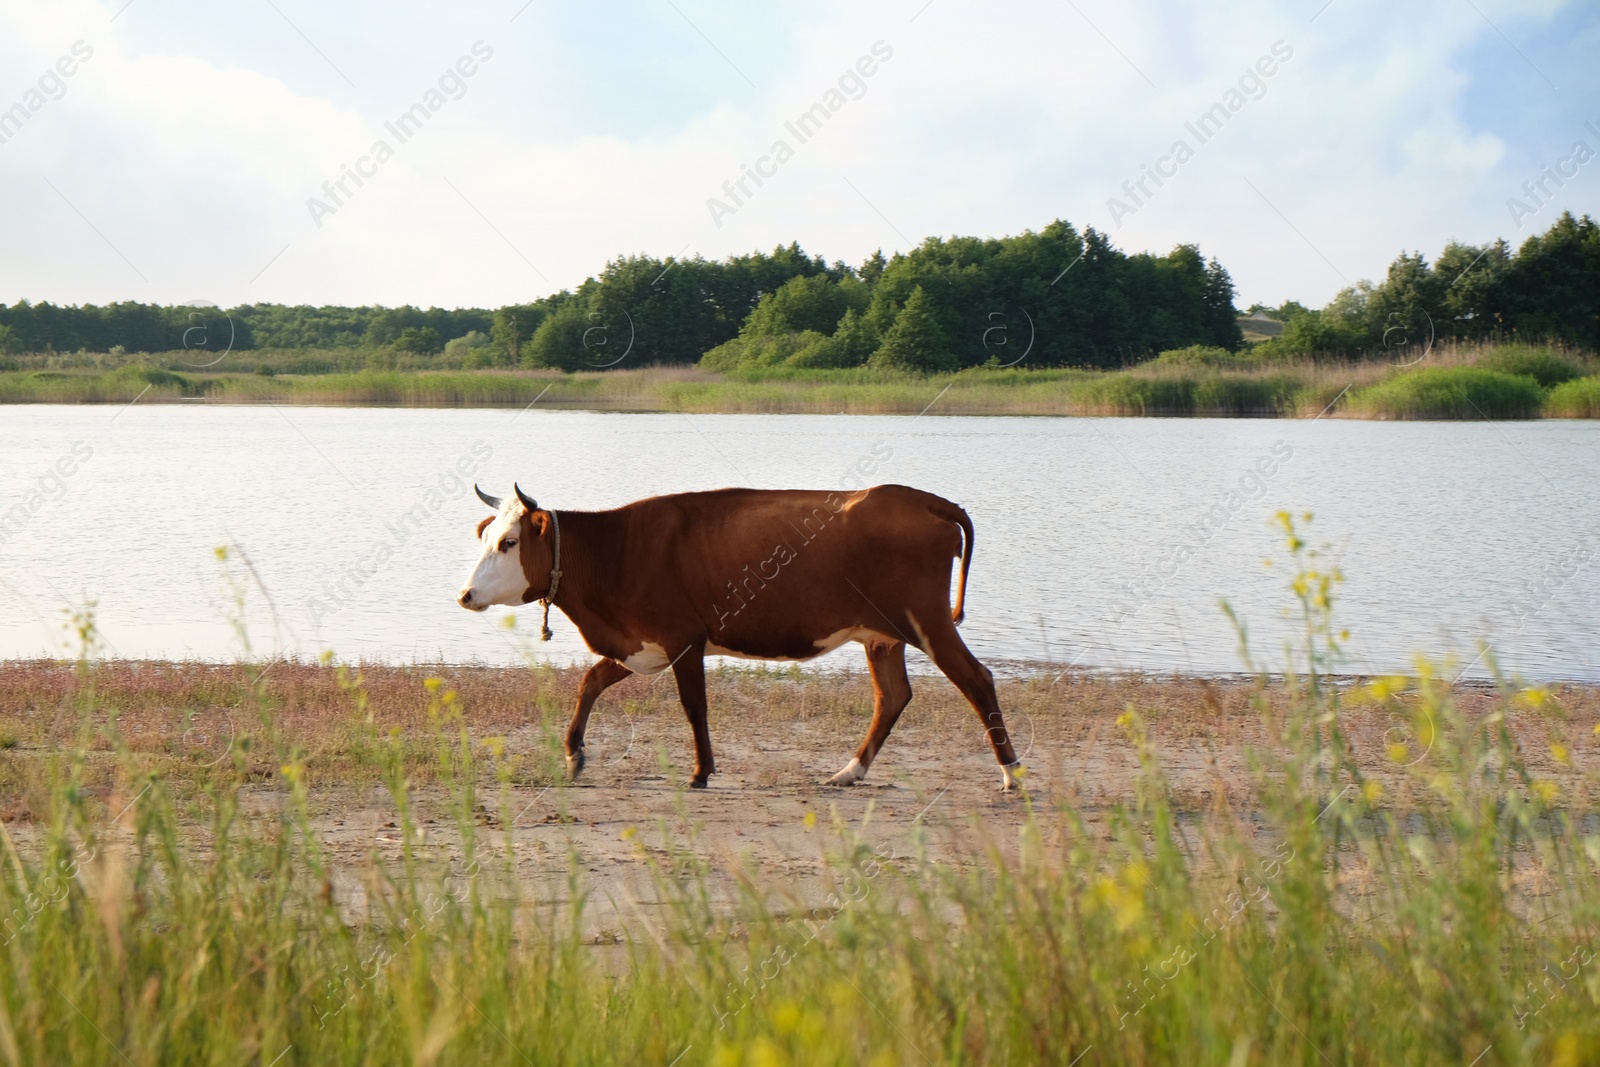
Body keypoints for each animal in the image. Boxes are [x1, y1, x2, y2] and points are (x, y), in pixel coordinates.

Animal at [457, 482, 1023, 791]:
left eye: (508, 543)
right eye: (485, 536)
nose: (465, 594)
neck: (617, 551)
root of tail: (924, 500)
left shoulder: (683, 638)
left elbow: (694, 707)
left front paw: (701, 772)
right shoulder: (641, 644)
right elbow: (589, 684)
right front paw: (574, 754)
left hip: (927, 620)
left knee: (977, 680)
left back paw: (1012, 773)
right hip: (881, 634)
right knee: (893, 696)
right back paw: (849, 771)